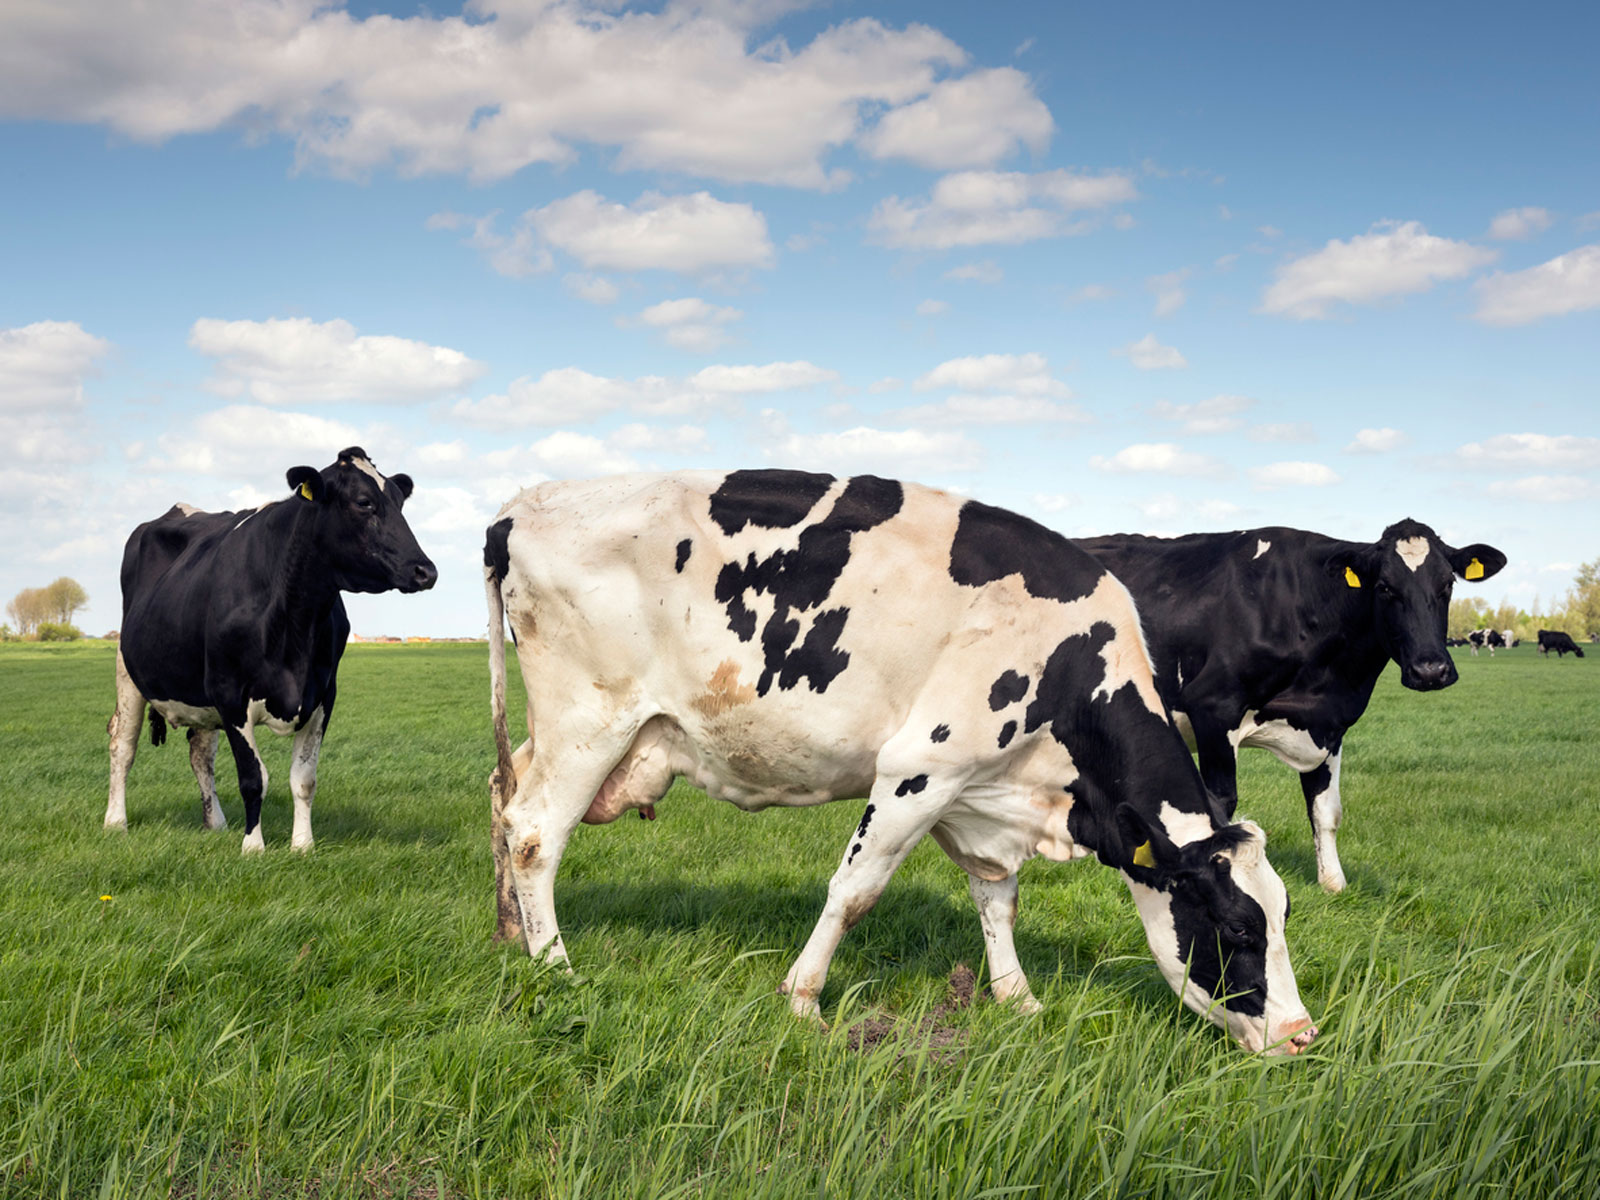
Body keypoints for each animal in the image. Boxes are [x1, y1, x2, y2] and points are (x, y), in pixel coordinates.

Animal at [107, 448, 438, 857]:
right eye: (364, 502)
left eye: (399, 501)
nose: (426, 571)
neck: (295, 618)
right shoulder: (230, 694)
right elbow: (253, 778)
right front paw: (253, 846)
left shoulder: (323, 695)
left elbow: (304, 778)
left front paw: (303, 845)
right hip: (128, 671)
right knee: (122, 744)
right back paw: (115, 822)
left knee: (200, 752)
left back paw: (215, 823)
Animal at [480, 473, 1318, 1056]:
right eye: (1237, 928)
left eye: (1282, 915)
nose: (1303, 1033)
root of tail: (522, 506)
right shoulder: (921, 770)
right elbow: (855, 891)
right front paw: (804, 1001)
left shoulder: (978, 793)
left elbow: (997, 899)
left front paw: (1019, 1000)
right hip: (589, 719)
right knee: (535, 832)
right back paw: (555, 966)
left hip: (571, 731)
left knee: (502, 794)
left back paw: (511, 935)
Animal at [1081, 518, 1504, 896]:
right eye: (1385, 587)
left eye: (1447, 585)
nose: (1430, 670)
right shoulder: (1213, 707)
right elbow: (1221, 804)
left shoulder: (1329, 725)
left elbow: (1326, 810)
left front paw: (1333, 884)